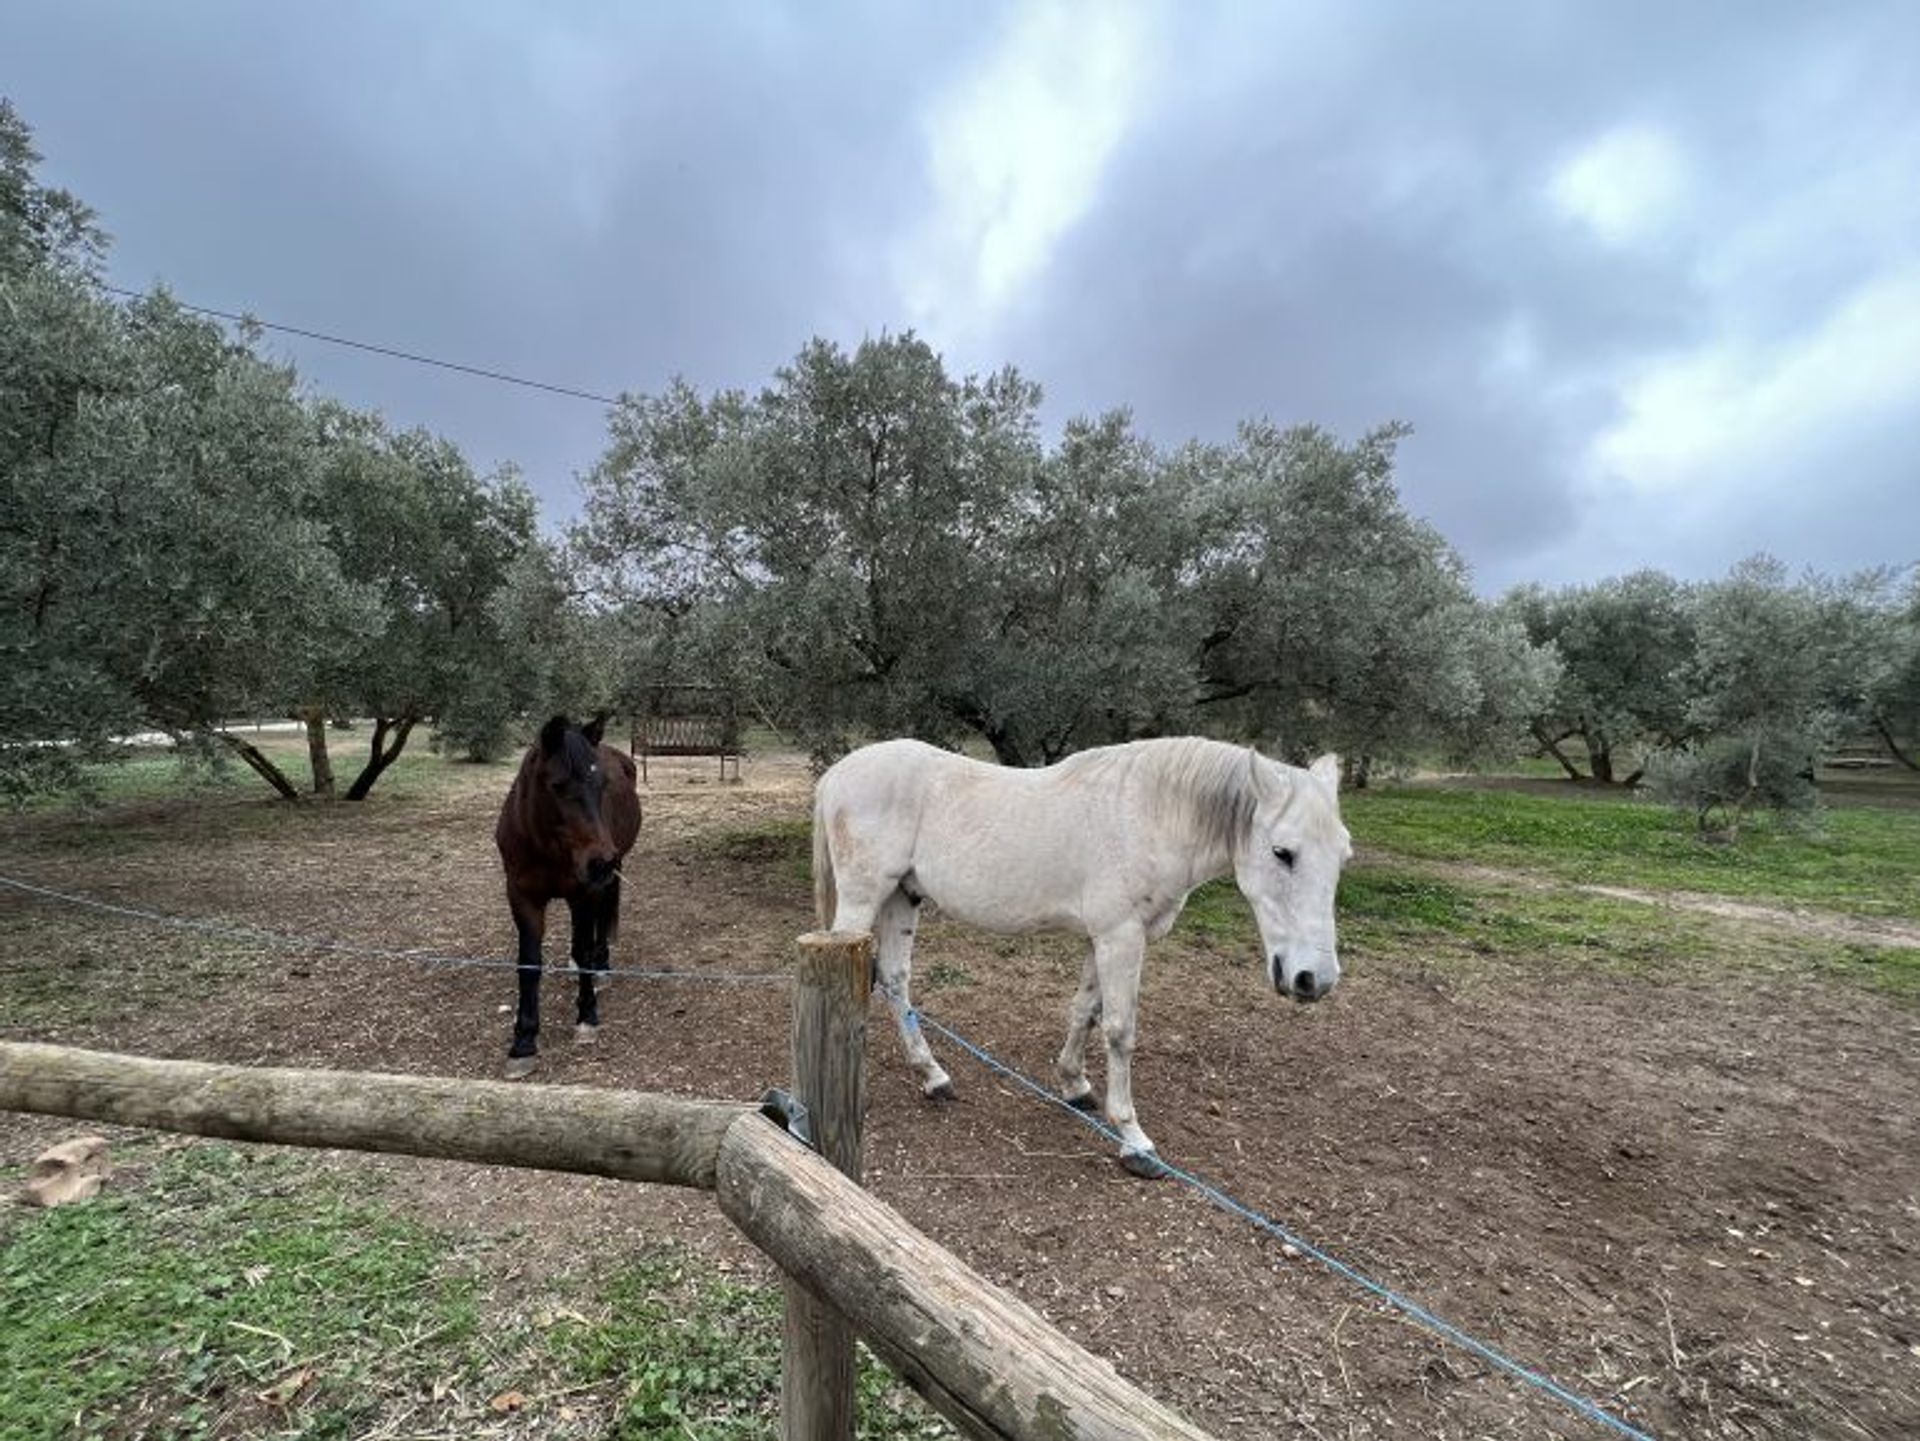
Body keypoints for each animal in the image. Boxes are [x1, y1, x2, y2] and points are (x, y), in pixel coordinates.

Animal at [495, 717, 645, 1074]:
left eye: (602, 783)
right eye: (558, 785)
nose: (600, 861)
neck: (544, 845)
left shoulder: (585, 893)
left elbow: (585, 947)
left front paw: (587, 1016)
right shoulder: (522, 897)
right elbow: (529, 964)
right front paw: (523, 1041)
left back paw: (602, 966)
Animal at [810, 736, 1351, 1174]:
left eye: (1343, 855)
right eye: (1283, 852)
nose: (1314, 978)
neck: (1149, 814)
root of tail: (837, 774)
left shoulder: (1103, 938)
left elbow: (1085, 1010)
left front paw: (1075, 1085)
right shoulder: (1121, 936)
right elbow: (1119, 1031)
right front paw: (1135, 1141)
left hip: (904, 897)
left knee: (896, 979)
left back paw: (933, 1076)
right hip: (863, 898)